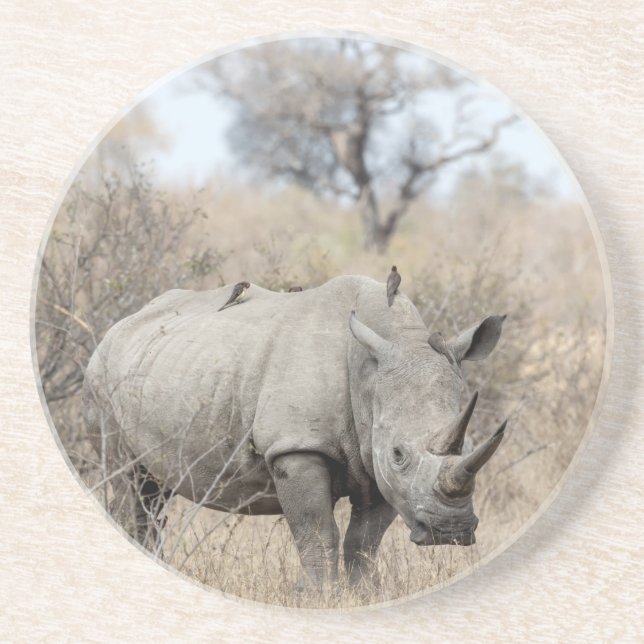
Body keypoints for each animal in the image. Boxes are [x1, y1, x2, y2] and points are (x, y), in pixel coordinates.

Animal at [82, 275, 507, 588]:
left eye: (468, 445)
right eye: (399, 454)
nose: (449, 531)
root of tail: (120, 325)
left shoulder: (376, 462)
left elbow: (364, 541)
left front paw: (363, 594)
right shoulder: (296, 447)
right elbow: (317, 532)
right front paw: (323, 596)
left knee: (154, 493)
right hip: (101, 378)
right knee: (128, 481)